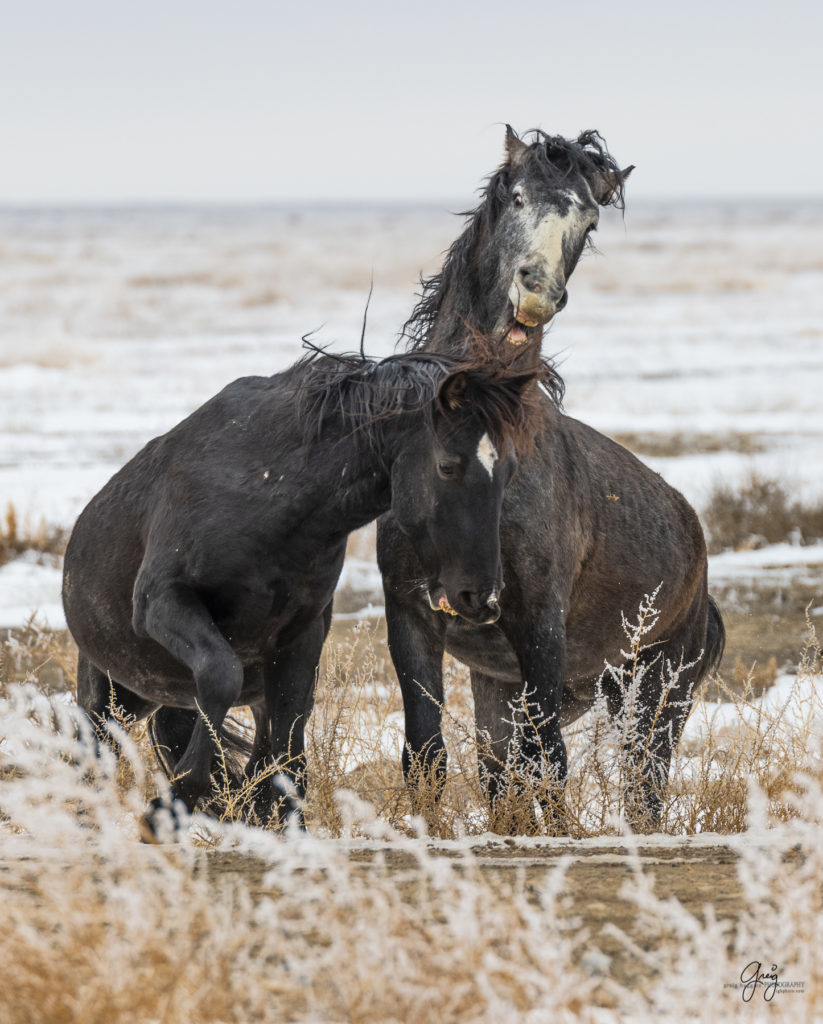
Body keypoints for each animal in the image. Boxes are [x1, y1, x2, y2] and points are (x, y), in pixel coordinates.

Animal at [376, 128, 724, 831]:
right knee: (504, 768)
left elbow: (549, 765)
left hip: (657, 687)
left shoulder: (539, 621)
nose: (536, 293)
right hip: (510, 683)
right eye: (515, 196)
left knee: (642, 783)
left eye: (588, 222)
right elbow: (427, 758)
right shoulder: (410, 614)